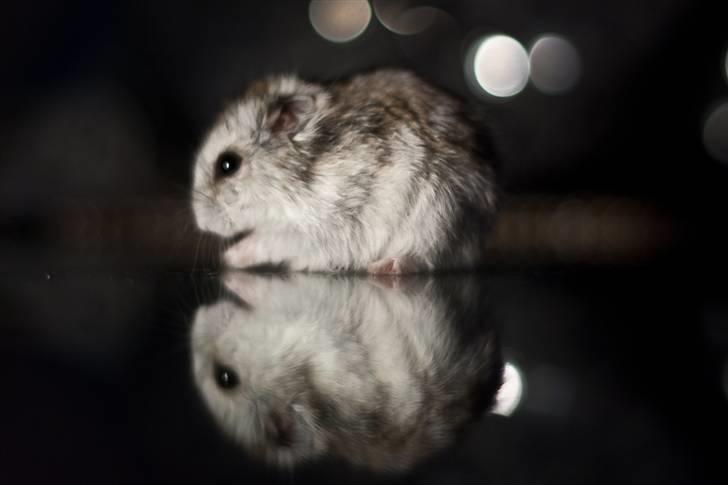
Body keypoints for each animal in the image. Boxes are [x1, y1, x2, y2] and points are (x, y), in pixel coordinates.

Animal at [190, 69, 499, 273]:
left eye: (227, 165)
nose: (201, 224)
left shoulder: (318, 226)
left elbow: (267, 241)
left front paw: (229, 257)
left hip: (437, 217)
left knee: (425, 257)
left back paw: (387, 267)